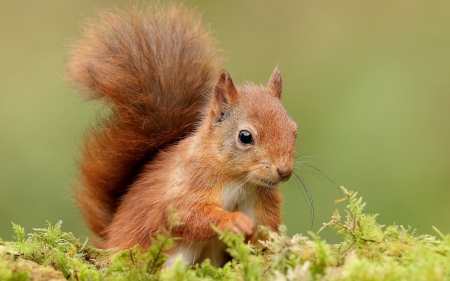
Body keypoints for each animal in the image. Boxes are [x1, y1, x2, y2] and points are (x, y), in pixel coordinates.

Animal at [67, 3, 298, 266]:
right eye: (245, 136)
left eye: (294, 131)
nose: (284, 171)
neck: (240, 181)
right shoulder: (186, 184)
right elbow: (185, 214)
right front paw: (234, 221)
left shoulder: (263, 206)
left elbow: (266, 235)